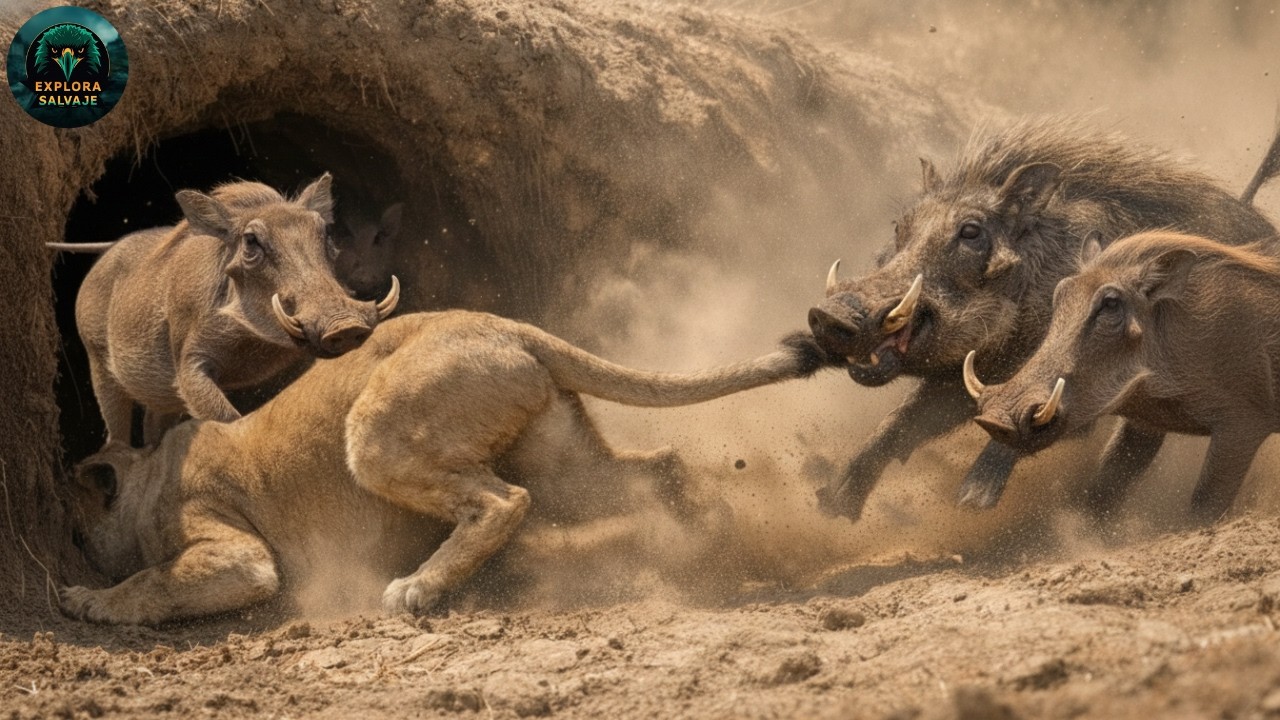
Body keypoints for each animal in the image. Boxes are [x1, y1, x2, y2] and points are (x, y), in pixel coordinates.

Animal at [60, 311, 823, 625]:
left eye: (76, 529)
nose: (73, 552)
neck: (150, 474)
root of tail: (507, 324)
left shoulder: (230, 546)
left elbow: (155, 580)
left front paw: (88, 600)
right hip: (565, 467)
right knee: (657, 465)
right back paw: (709, 537)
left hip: (374, 435)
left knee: (501, 501)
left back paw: (417, 590)